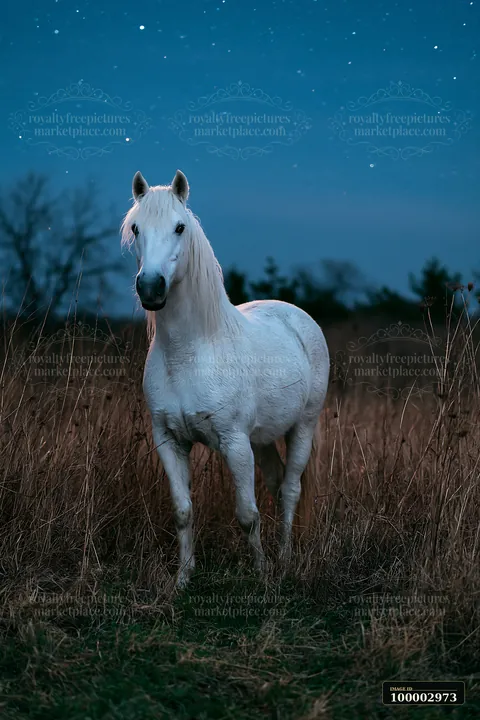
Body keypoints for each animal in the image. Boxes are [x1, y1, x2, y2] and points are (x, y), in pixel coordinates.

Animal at [121, 170, 330, 588]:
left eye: (180, 227)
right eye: (136, 228)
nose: (150, 288)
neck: (189, 353)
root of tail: (297, 315)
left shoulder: (235, 444)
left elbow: (247, 514)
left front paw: (261, 574)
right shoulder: (169, 441)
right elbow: (183, 511)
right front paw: (183, 578)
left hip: (302, 426)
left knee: (291, 489)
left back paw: (284, 558)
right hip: (263, 438)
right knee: (277, 483)